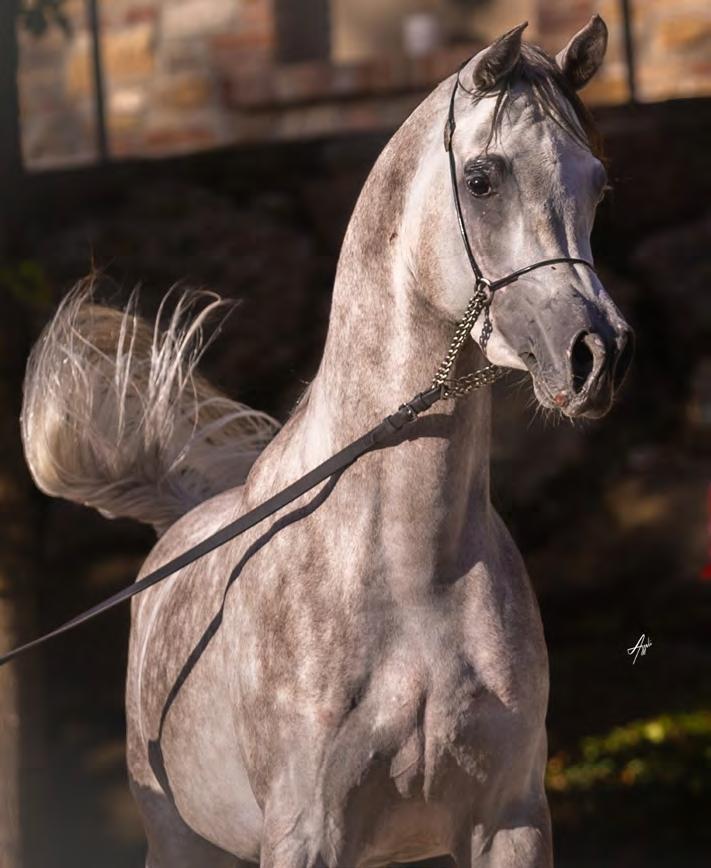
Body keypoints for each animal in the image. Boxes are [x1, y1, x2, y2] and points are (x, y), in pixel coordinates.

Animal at [21, 16, 632, 868]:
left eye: (596, 185)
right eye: (482, 178)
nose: (595, 356)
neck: (410, 573)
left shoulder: (509, 821)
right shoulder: (307, 834)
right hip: (180, 840)